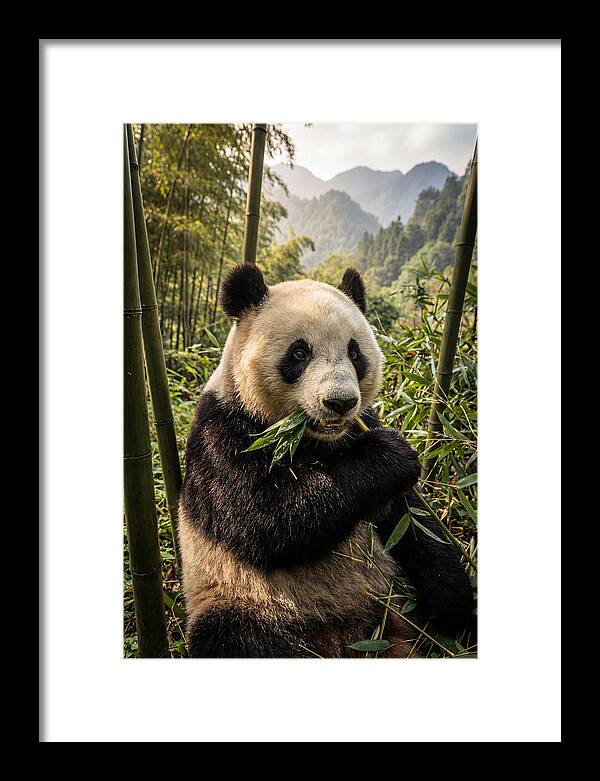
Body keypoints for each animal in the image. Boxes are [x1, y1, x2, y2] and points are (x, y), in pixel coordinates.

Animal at [179, 264, 474, 658]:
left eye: (354, 352)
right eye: (299, 353)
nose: (340, 402)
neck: (313, 440)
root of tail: (344, 638)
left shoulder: (361, 431)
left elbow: (412, 522)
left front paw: (454, 604)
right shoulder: (224, 433)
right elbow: (265, 520)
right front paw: (392, 454)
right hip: (244, 599)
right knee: (233, 637)